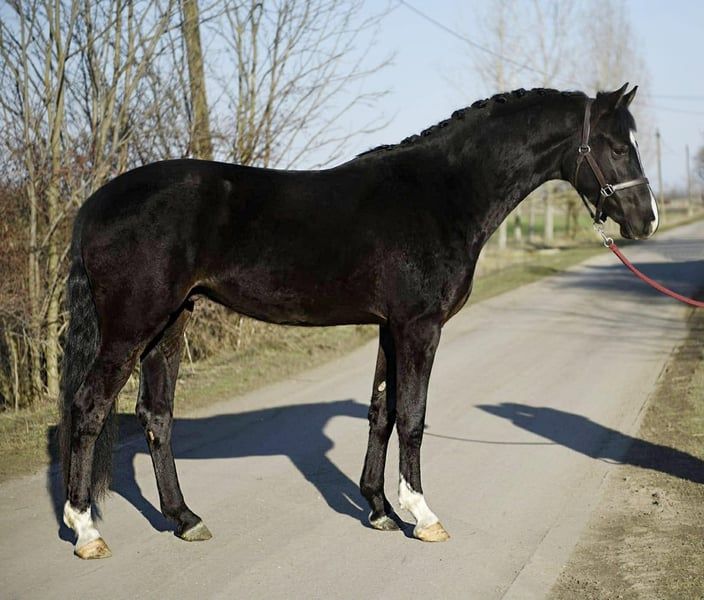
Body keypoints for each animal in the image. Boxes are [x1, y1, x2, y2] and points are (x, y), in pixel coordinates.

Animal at [59, 84, 657, 559]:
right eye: (617, 147)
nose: (646, 220)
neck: (442, 193)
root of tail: (95, 204)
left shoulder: (390, 327)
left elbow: (381, 412)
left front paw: (379, 508)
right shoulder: (419, 326)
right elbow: (413, 416)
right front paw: (423, 515)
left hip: (171, 322)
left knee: (156, 415)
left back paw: (186, 519)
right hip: (132, 326)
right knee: (89, 406)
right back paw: (86, 531)